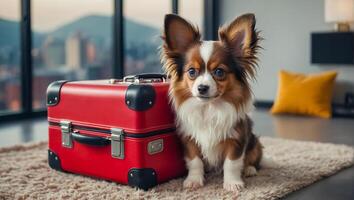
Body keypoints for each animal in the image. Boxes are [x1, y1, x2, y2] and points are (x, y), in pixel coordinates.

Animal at [160, 13, 268, 191]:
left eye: (219, 72)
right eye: (192, 72)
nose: (202, 88)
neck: (209, 108)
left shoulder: (236, 140)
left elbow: (232, 164)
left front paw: (232, 183)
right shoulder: (189, 140)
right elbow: (195, 162)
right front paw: (194, 180)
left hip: (255, 143)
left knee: (254, 160)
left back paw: (249, 169)